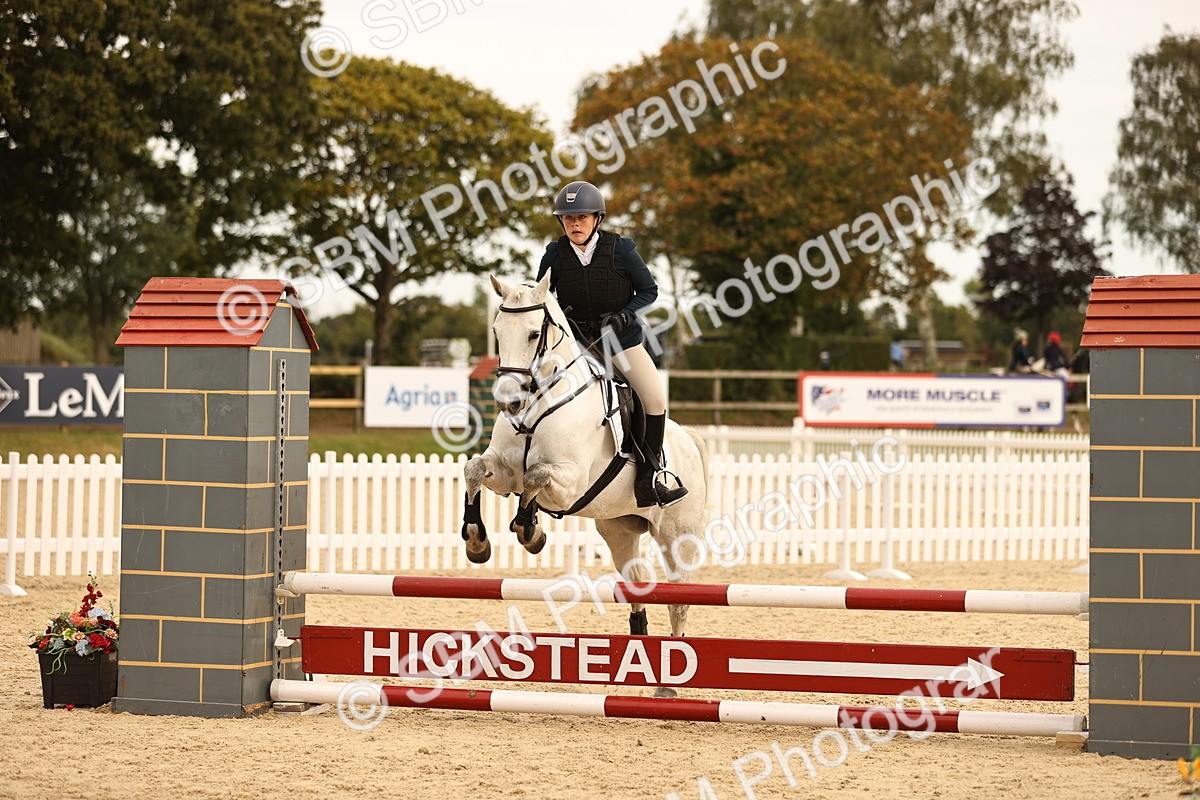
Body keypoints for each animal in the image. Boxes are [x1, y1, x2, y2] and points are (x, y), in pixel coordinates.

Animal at [460, 273, 709, 642]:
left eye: (533, 334)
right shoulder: (504, 474)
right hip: (618, 529)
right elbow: (475, 469)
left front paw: (530, 531)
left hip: (677, 537)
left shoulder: (570, 482)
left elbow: (535, 475)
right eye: (496, 331)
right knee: (636, 580)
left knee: (679, 600)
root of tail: (688, 439)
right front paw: (477, 541)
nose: (508, 403)